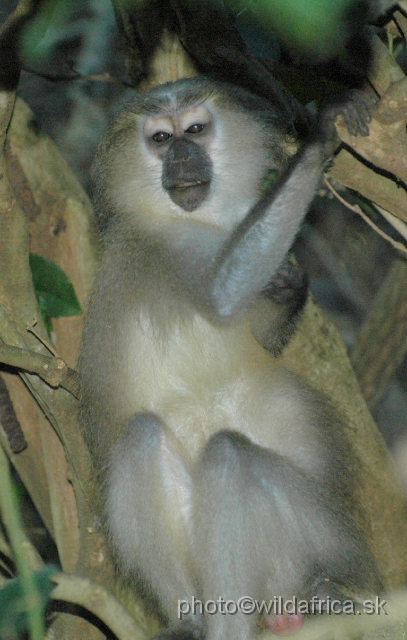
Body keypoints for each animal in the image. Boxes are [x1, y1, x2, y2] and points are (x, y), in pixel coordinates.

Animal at [78, 76, 380, 640]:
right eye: (160, 139)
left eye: (195, 130)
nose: (181, 158)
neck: (208, 219)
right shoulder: (167, 246)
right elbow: (223, 292)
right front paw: (320, 135)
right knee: (155, 439)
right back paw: (201, 622)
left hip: (318, 541)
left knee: (226, 456)